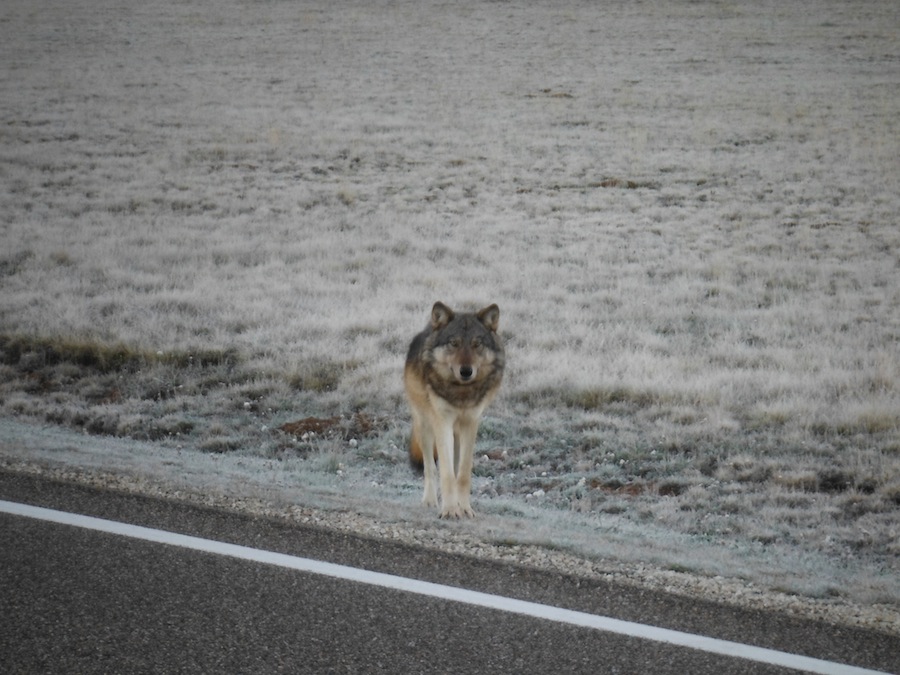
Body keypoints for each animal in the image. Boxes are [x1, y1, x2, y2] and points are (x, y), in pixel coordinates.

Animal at [402, 304, 502, 520]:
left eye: (476, 344)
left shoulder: (470, 423)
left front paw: (463, 508)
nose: (466, 371)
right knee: (430, 467)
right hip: (425, 426)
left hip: (456, 435)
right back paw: (430, 501)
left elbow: (462, 474)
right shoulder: (442, 422)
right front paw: (448, 510)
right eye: (454, 343)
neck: (461, 392)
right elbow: (446, 473)